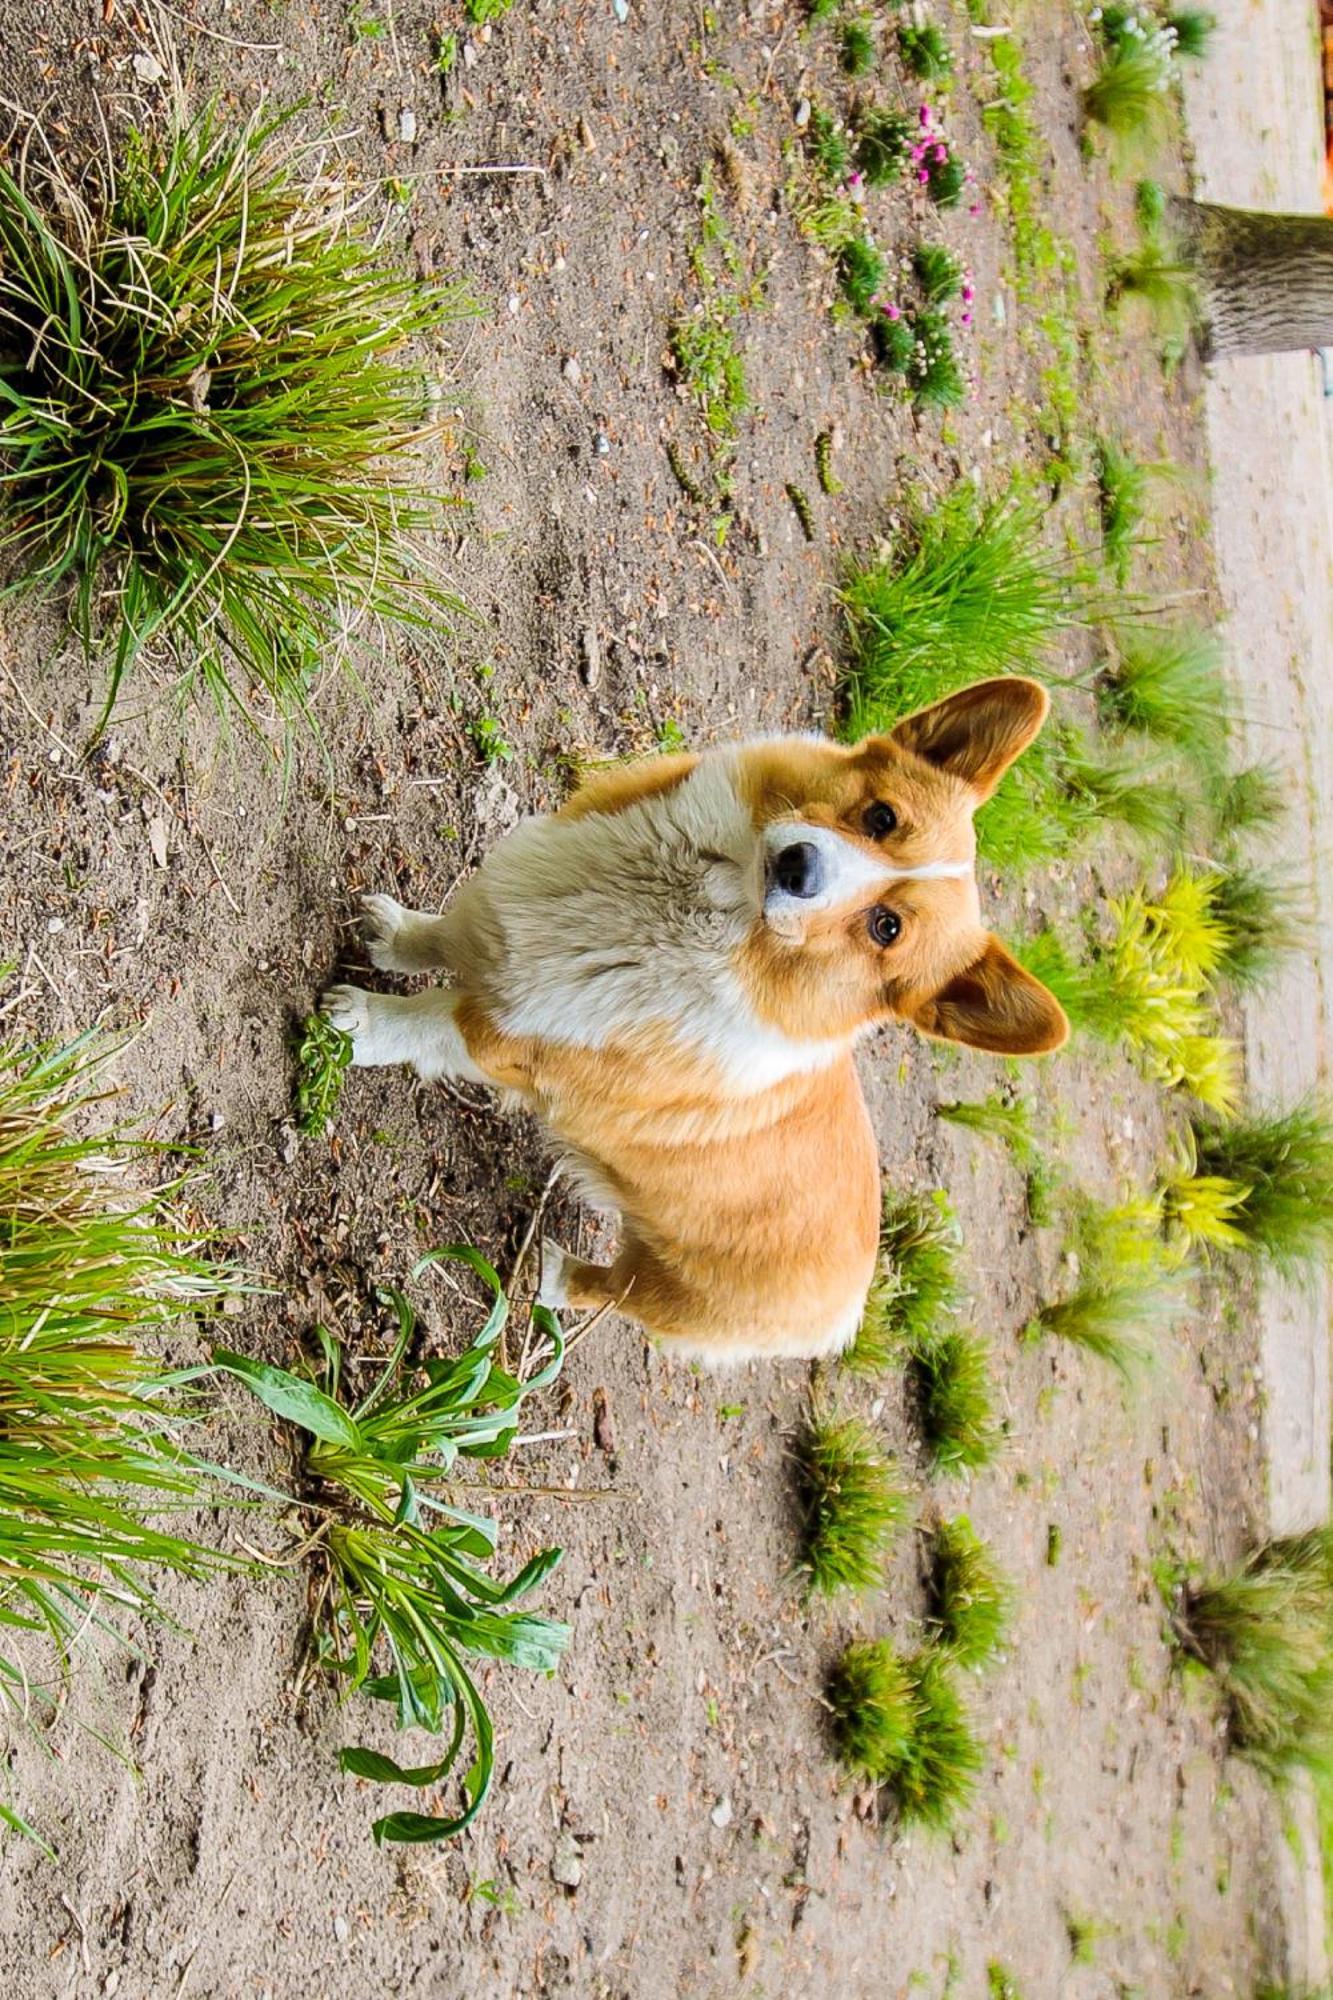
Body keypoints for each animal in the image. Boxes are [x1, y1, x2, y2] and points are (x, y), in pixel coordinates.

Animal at [326, 680, 1064, 1368]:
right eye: (881, 816)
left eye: (886, 929)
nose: (798, 867)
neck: (692, 902)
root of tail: (854, 1303)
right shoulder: (504, 921)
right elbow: (445, 934)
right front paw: (394, 937)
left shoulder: (510, 1040)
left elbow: (427, 1022)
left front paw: (357, 1023)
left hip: (674, 1292)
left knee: (618, 1292)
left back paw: (553, 1274)